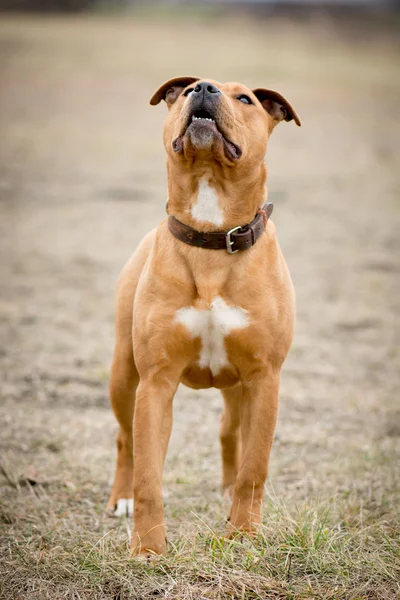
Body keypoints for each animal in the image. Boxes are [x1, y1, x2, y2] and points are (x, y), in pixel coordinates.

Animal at [106, 78, 300, 556]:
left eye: (245, 98)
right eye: (189, 87)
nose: (205, 88)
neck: (213, 233)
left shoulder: (264, 378)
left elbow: (254, 469)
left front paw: (243, 535)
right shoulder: (156, 381)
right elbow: (149, 475)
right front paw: (148, 548)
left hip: (239, 388)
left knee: (231, 433)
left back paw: (230, 498)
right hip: (123, 373)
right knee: (125, 439)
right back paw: (120, 498)